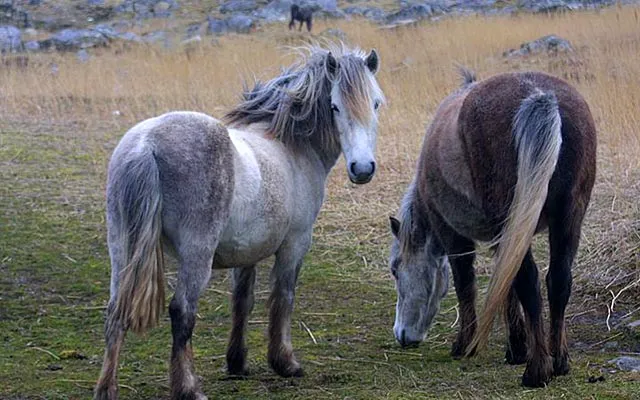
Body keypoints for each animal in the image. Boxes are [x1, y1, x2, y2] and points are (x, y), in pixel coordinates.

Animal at [94, 44, 384, 400]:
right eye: (335, 106)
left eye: (375, 103)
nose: (362, 169)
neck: (290, 146)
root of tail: (145, 145)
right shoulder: (295, 244)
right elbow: (283, 298)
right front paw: (285, 362)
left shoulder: (246, 252)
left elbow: (242, 302)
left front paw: (237, 362)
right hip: (196, 254)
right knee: (182, 312)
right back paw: (189, 388)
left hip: (121, 247)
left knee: (115, 312)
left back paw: (107, 388)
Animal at [388, 69, 596, 387]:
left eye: (396, 269)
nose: (402, 335)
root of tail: (541, 96)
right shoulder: (506, 239)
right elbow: (505, 285)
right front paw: (516, 347)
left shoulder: (453, 235)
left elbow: (465, 285)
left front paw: (464, 344)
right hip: (568, 217)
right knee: (558, 281)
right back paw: (558, 361)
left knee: (530, 282)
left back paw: (537, 371)